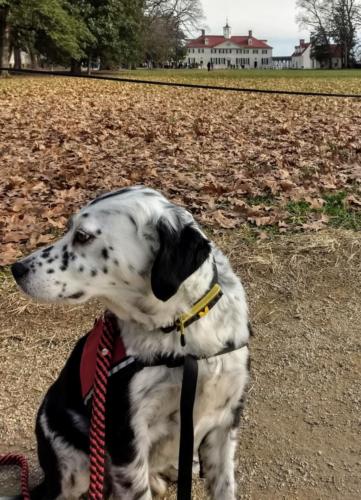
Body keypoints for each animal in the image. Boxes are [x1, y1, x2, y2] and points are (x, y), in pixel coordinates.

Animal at [9, 187, 249, 500]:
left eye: (82, 236)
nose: (16, 268)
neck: (181, 336)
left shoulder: (225, 420)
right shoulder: (126, 435)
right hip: (74, 470)